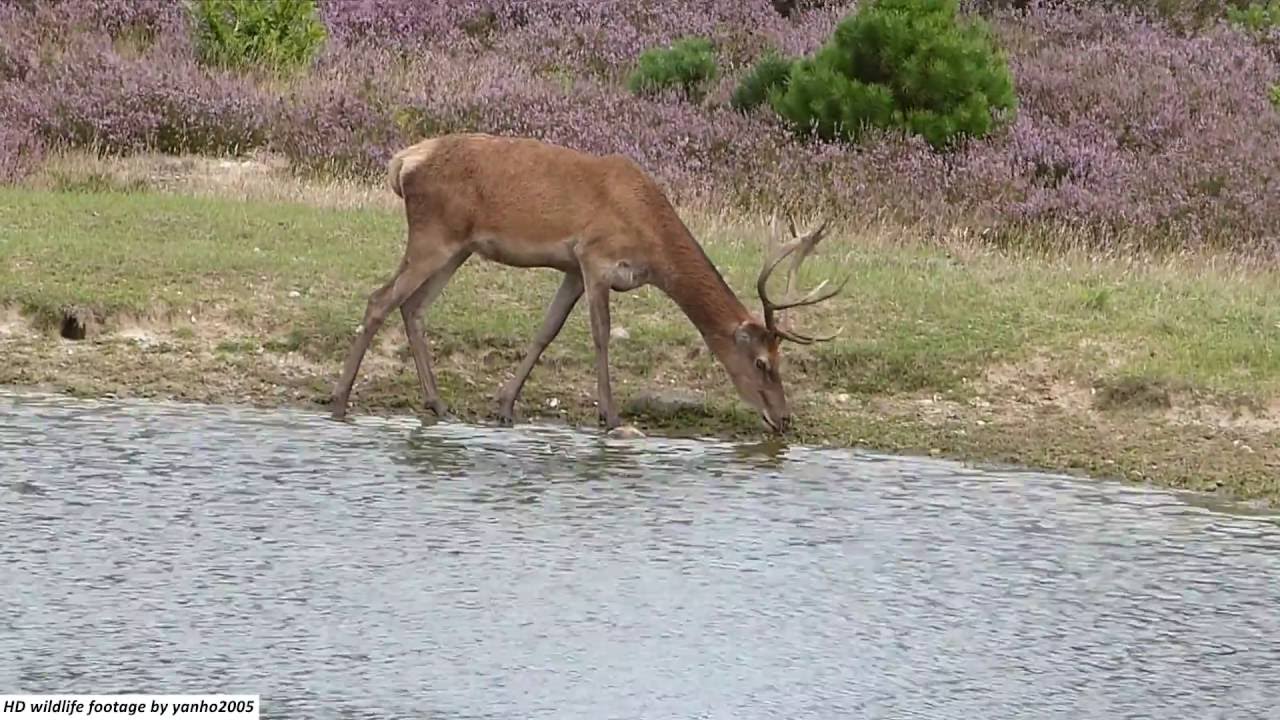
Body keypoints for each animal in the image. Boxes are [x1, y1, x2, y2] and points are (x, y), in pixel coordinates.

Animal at [328, 132, 847, 433]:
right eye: (762, 363)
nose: (784, 419)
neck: (652, 242)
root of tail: (402, 162)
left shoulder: (572, 269)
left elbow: (547, 330)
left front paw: (504, 405)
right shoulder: (596, 257)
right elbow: (600, 335)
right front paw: (610, 416)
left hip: (458, 247)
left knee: (412, 307)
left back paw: (437, 404)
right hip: (434, 233)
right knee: (379, 299)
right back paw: (339, 400)